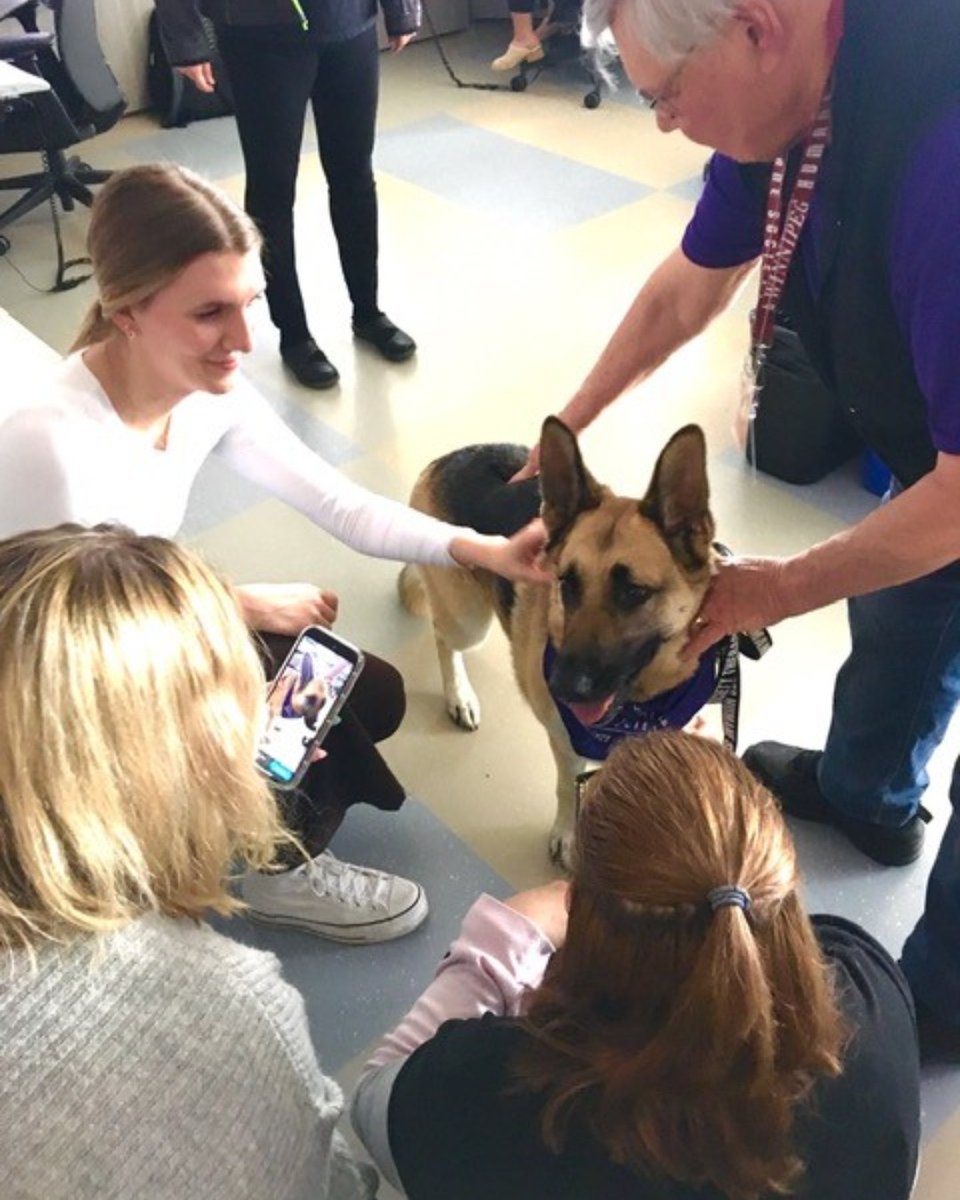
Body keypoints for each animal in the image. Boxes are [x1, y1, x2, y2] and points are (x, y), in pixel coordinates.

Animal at [398, 417, 720, 868]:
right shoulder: (565, 743)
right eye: (567, 582)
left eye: (633, 592)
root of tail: (453, 457)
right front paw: (570, 836)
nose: (561, 687)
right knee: (444, 638)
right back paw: (459, 695)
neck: (641, 704)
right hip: (468, 620)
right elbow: (568, 788)